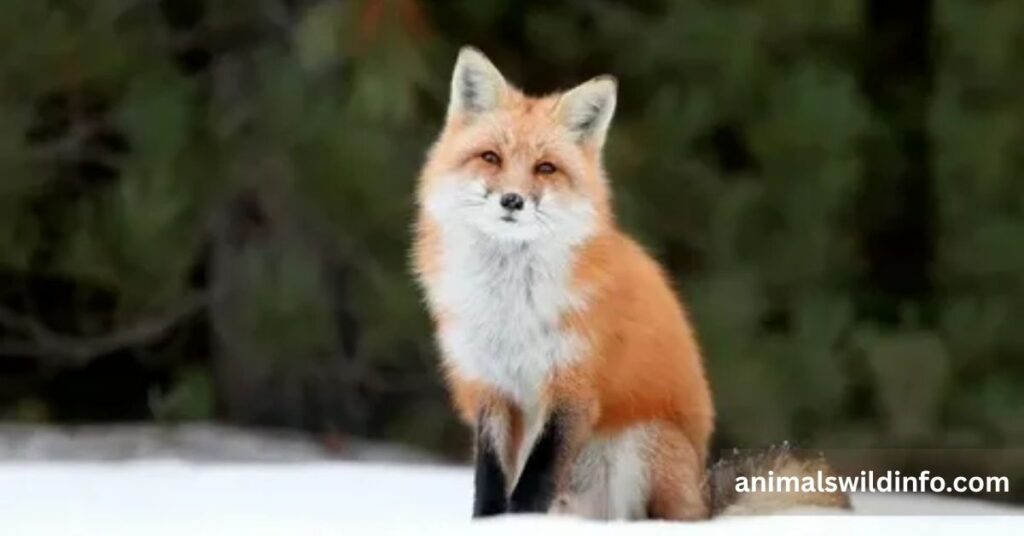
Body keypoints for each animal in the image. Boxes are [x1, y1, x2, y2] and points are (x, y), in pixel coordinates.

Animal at [412, 46, 849, 520]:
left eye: (546, 168)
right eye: (491, 157)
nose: (512, 200)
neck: (510, 303)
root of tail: (703, 498)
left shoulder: (572, 388)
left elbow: (536, 479)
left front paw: (523, 522)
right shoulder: (489, 386)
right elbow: (489, 481)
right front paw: (491, 522)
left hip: (639, 443)